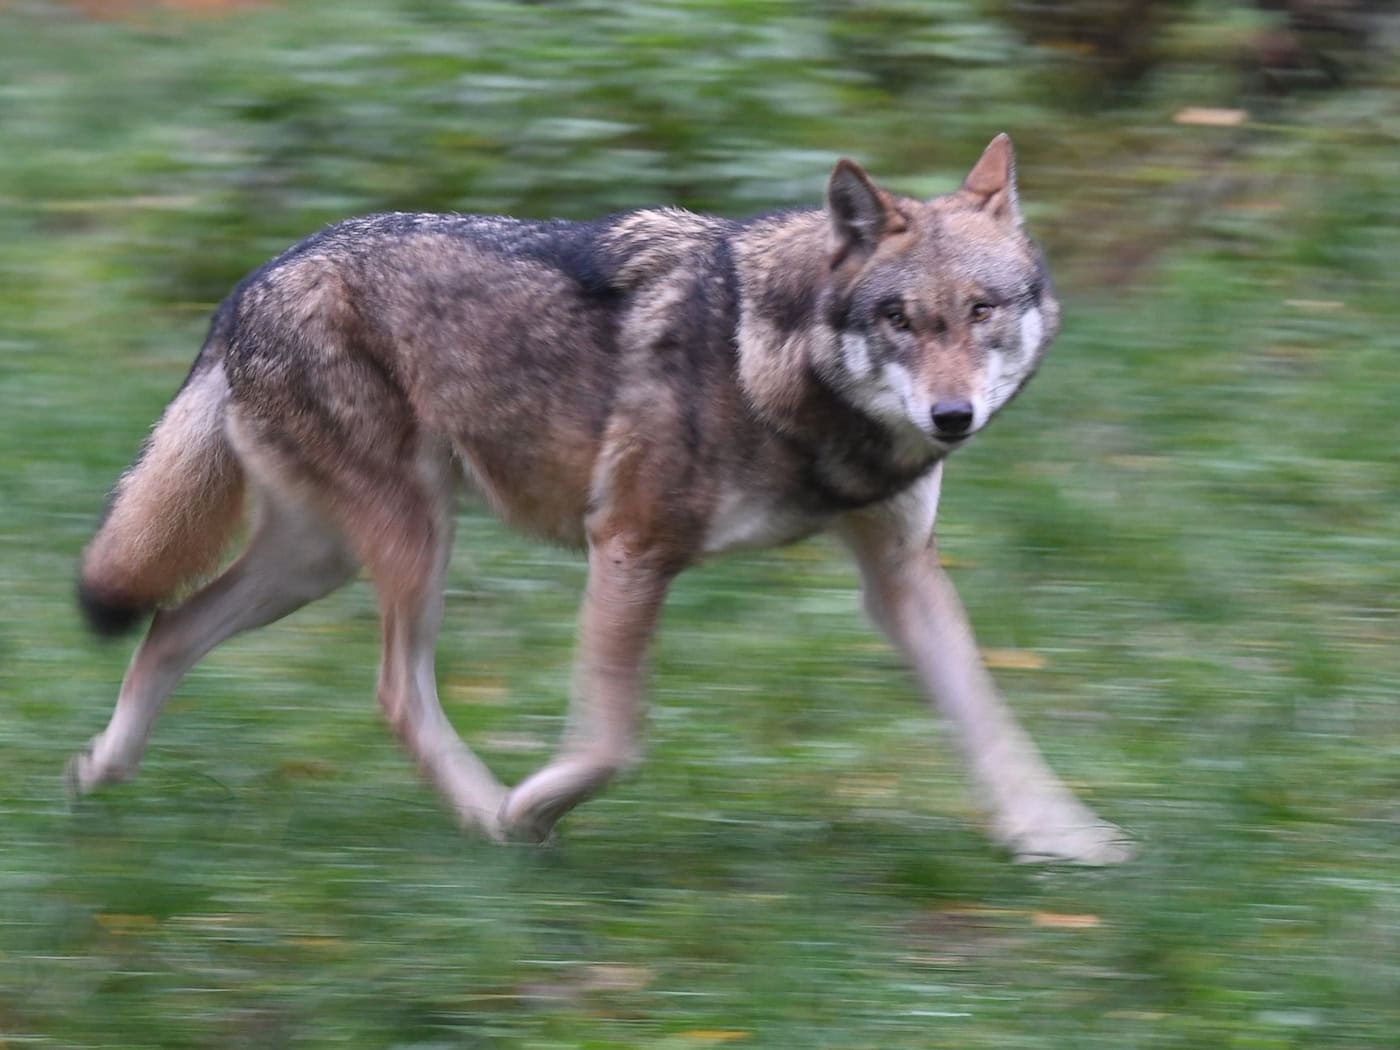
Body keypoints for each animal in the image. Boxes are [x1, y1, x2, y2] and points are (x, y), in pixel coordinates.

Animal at [73, 135, 1129, 864]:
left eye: (981, 311)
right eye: (902, 319)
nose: (952, 416)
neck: (779, 368)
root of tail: (248, 284)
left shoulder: (900, 576)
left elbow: (989, 718)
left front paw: (1062, 839)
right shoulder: (629, 545)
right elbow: (615, 740)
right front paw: (532, 805)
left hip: (318, 561)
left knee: (170, 625)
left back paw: (101, 772)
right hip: (411, 542)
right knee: (392, 693)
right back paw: (487, 818)